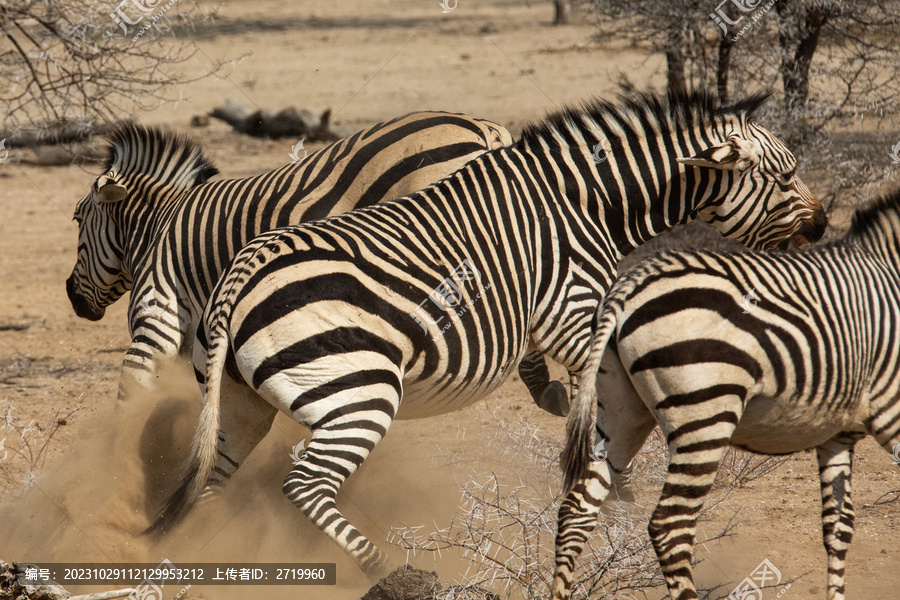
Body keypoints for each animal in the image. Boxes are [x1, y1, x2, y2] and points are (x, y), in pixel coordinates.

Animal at [148, 91, 828, 576]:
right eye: (787, 176)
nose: (824, 226)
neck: (585, 202)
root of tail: (241, 271)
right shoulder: (576, 309)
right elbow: (599, 407)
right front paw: (615, 487)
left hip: (241, 403)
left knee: (213, 480)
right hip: (359, 393)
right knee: (304, 485)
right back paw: (384, 570)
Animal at [548, 189, 900, 600]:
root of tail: (624, 288)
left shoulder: (838, 433)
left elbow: (838, 526)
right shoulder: (890, 410)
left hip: (621, 413)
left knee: (577, 508)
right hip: (705, 414)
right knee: (670, 525)